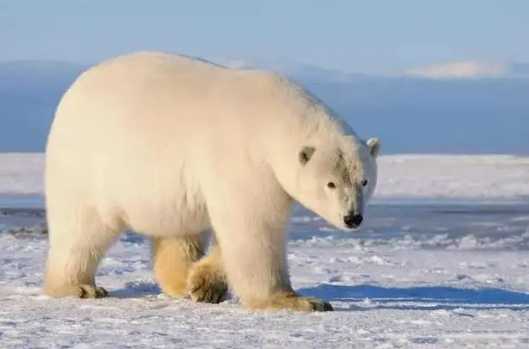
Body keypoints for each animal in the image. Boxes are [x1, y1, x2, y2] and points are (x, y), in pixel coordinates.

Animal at [43, 51, 378, 310]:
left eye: (364, 181)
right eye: (330, 184)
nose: (353, 218)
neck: (272, 120)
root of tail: (74, 89)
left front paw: (204, 283)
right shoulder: (244, 158)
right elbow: (255, 227)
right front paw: (298, 301)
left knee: (179, 230)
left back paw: (182, 282)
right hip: (88, 164)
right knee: (82, 228)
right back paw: (79, 287)